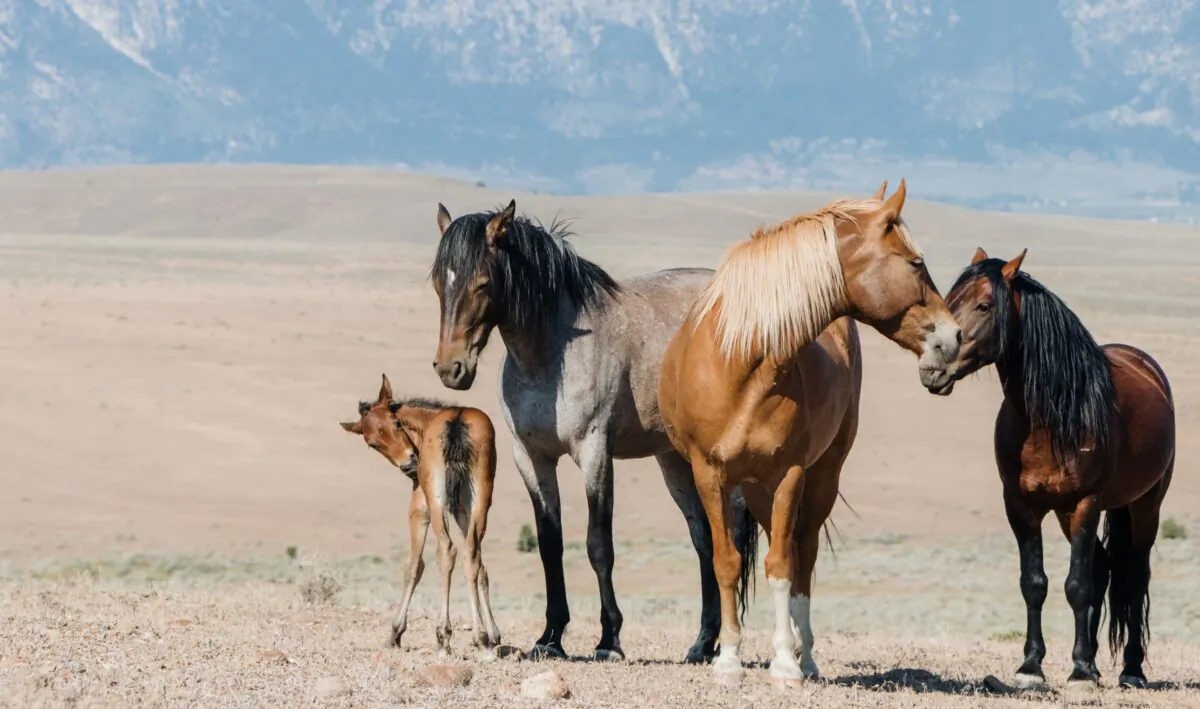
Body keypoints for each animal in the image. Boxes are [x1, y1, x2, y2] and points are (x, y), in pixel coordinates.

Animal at [340, 373, 502, 660]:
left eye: (396, 423)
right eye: (372, 443)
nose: (409, 466)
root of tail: (456, 422)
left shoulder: (419, 509)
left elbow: (414, 567)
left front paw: (395, 633)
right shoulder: (460, 511)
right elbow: (478, 566)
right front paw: (492, 634)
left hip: (437, 504)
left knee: (446, 552)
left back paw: (443, 638)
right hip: (479, 499)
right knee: (468, 554)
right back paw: (480, 639)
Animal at [428, 198, 759, 663]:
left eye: (482, 283)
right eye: (439, 283)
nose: (450, 368)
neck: (549, 357)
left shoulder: (594, 454)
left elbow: (598, 544)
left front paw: (609, 639)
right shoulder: (531, 458)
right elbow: (550, 545)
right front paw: (550, 637)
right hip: (674, 460)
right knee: (704, 540)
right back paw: (701, 644)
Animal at [659, 179, 963, 686]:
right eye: (915, 263)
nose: (953, 336)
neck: (743, 363)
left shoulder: (790, 475)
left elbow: (783, 565)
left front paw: (784, 662)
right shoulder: (709, 475)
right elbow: (726, 562)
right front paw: (729, 659)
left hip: (820, 478)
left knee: (804, 553)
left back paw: (806, 656)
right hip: (754, 488)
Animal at [938, 248, 1175, 690]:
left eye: (984, 305)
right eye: (948, 300)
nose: (934, 367)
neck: (1050, 419)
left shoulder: (1086, 502)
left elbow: (1077, 585)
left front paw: (1079, 672)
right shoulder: (1021, 506)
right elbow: (1035, 583)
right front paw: (1032, 666)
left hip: (1144, 506)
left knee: (1135, 576)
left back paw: (1131, 670)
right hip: (1071, 513)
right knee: (1102, 566)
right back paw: (1096, 662)